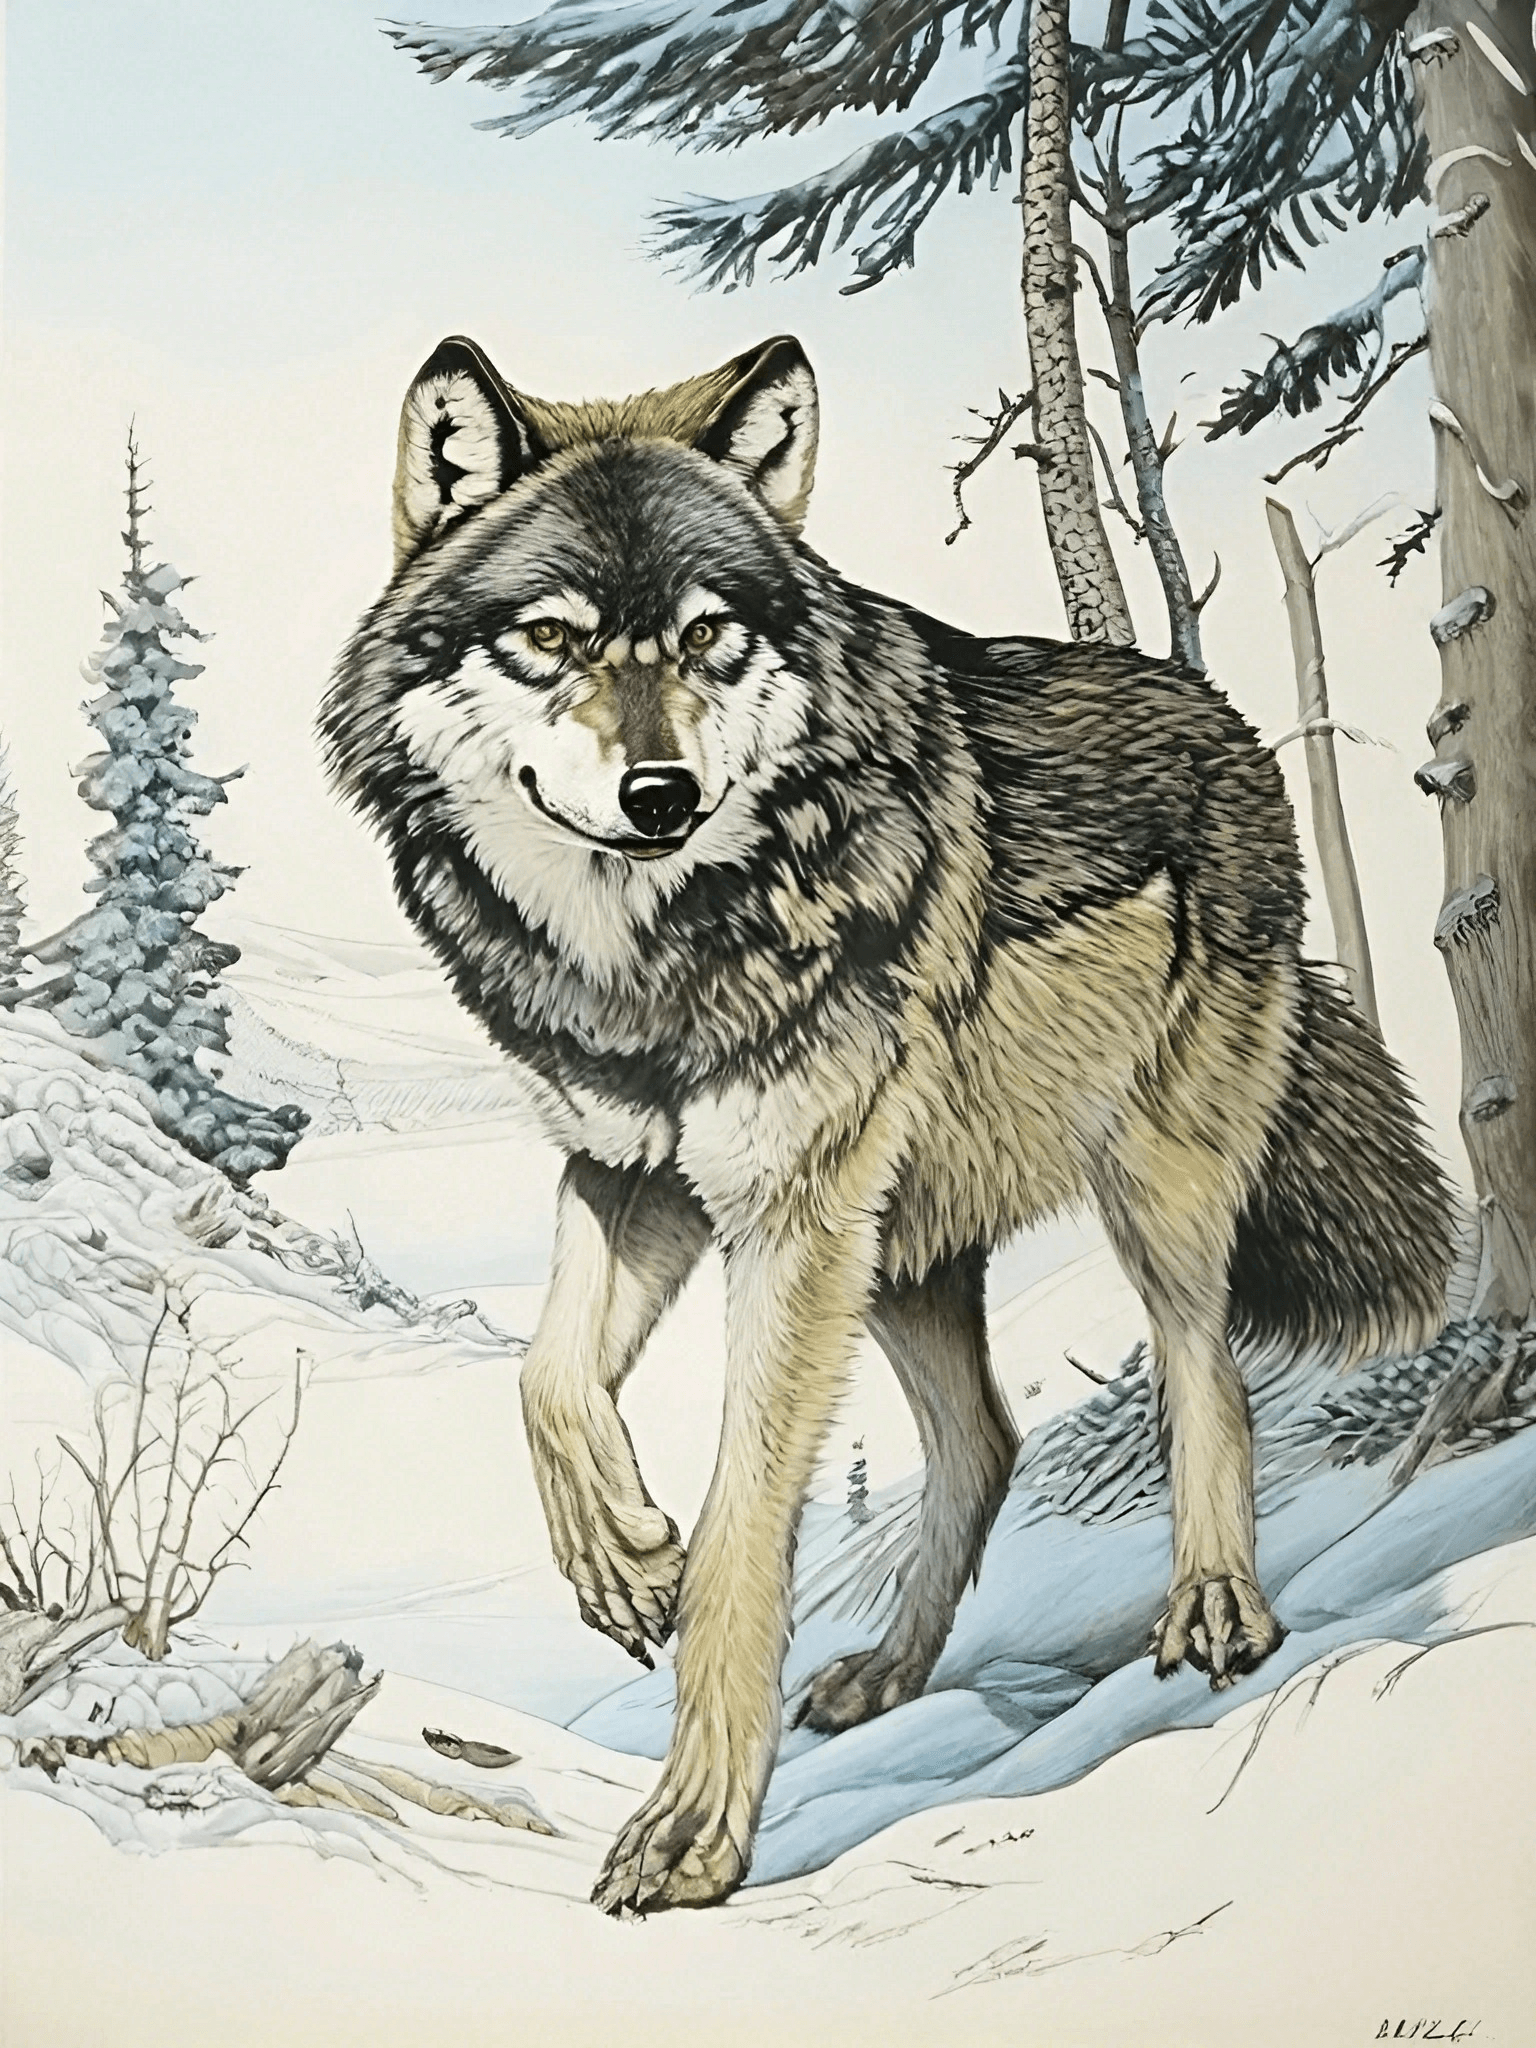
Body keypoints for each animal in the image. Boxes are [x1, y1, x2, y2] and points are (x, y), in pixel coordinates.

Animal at [321, 333, 1455, 1915]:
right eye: (550, 637)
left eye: (710, 638)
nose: (661, 794)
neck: (648, 957)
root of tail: (1226, 720)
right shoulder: (631, 1175)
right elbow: (545, 1382)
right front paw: (625, 1560)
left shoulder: (783, 1216)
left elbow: (745, 1535)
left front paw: (694, 1829)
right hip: (903, 1250)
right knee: (986, 1441)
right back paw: (892, 1673)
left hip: (1132, 1187)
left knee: (1205, 1371)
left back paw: (1219, 1606)